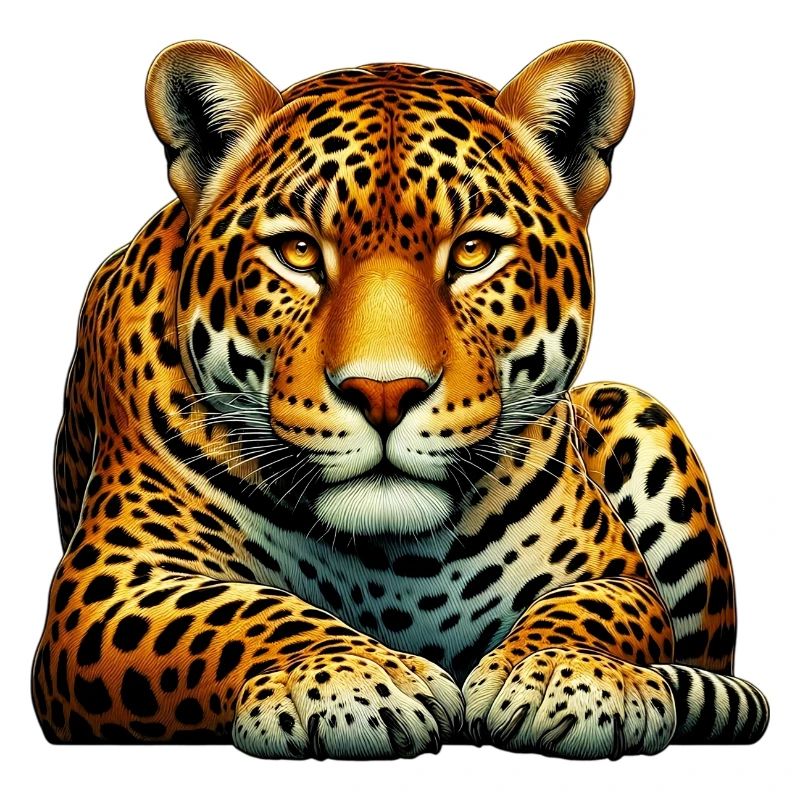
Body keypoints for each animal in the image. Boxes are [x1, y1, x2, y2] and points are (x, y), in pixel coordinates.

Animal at [32, 39, 769, 760]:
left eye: (473, 251)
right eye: (298, 251)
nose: (383, 394)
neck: (394, 559)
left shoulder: (615, 574)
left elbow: (597, 610)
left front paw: (566, 673)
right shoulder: (108, 586)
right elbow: (233, 614)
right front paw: (351, 678)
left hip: (636, 408)